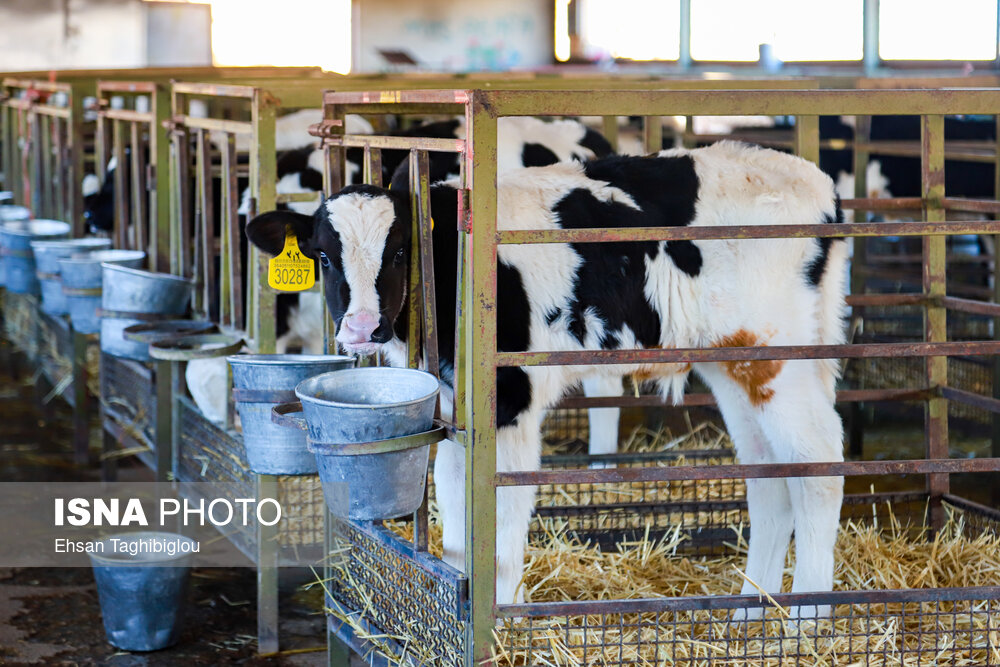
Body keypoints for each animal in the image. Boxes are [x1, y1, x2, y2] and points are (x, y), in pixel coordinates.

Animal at [246, 142, 848, 620]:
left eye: (398, 252)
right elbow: (456, 520)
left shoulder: (510, 399)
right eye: (324, 256)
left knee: (819, 462)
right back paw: (749, 614)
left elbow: (503, 522)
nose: (362, 328)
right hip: (733, 362)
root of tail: (816, 183)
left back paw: (806, 620)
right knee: (769, 476)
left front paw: (503, 619)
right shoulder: (452, 407)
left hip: (780, 354)